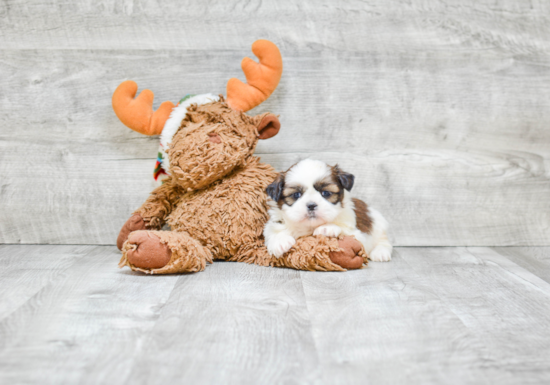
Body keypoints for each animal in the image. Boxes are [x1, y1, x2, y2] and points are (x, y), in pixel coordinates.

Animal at [266, 158, 394, 260]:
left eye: (326, 193)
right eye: (296, 194)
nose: (311, 205)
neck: (310, 227)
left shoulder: (358, 236)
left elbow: (346, 231)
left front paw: (327, 228)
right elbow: (272, 232)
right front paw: (280, 241)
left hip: (379, 226)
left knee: (384, 241)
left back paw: (380, 252)